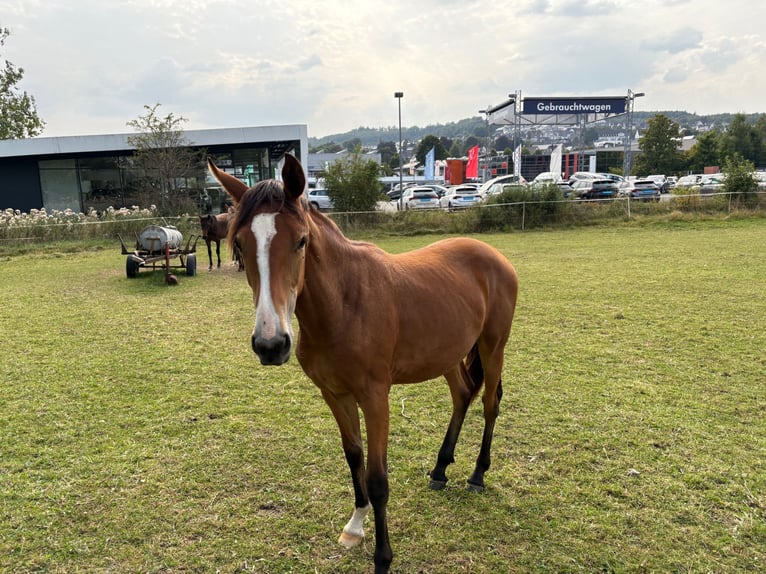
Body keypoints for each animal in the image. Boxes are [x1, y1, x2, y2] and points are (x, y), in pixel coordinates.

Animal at [208, 154, 518, 574]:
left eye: (301, 241)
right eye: (239, 244)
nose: (270, 345)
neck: (344, 305)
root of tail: (494, 256)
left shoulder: (375, 398)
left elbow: (377, 478)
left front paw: (383, 558)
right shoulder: (335, 394)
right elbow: (353, 456)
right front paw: (355, 525)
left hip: (492, 345)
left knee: (489, 403)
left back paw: (477, 474)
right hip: (449, 354)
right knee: (462, 394)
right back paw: (440, 469)